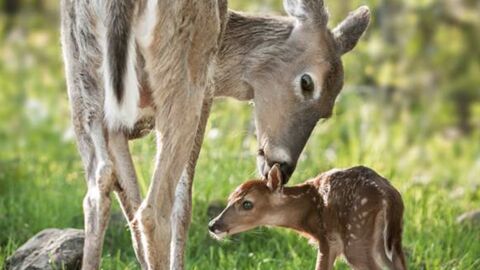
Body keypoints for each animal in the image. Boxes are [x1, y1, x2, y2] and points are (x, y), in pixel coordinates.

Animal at [58, 0, 370, 268]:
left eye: (327, 110)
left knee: (98, 192)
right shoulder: (205, 97)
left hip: (83, 85)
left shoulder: (117, 127)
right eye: (307, 82)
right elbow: (182, 205)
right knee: (153, 210)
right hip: (183, 84)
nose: (283, 166)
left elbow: (129, 206)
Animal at [209, 165, 404, 270]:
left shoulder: (328, 239)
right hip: (391, 240)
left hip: (356, 235)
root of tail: (390, 195)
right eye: (230, 198)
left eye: (247, 203)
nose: (213, 224)